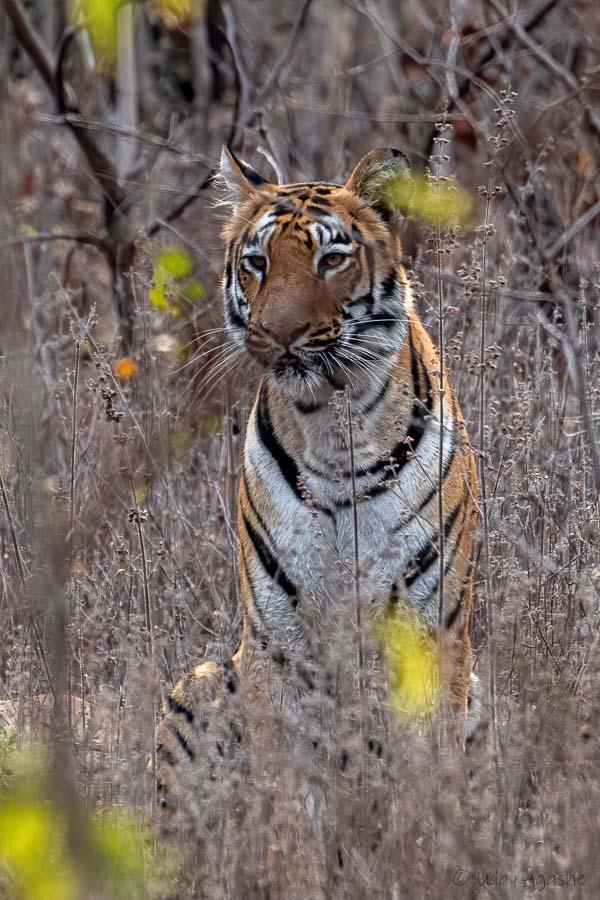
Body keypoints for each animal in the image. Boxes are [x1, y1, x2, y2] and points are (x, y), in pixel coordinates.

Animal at [156, 144, 482, 832]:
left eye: (331, 258)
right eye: (256, 263)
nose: (280, 333)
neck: (335, 431)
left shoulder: (433, 630)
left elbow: (429, 780)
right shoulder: (277, 641)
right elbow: (288, 807)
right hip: (197, 684)